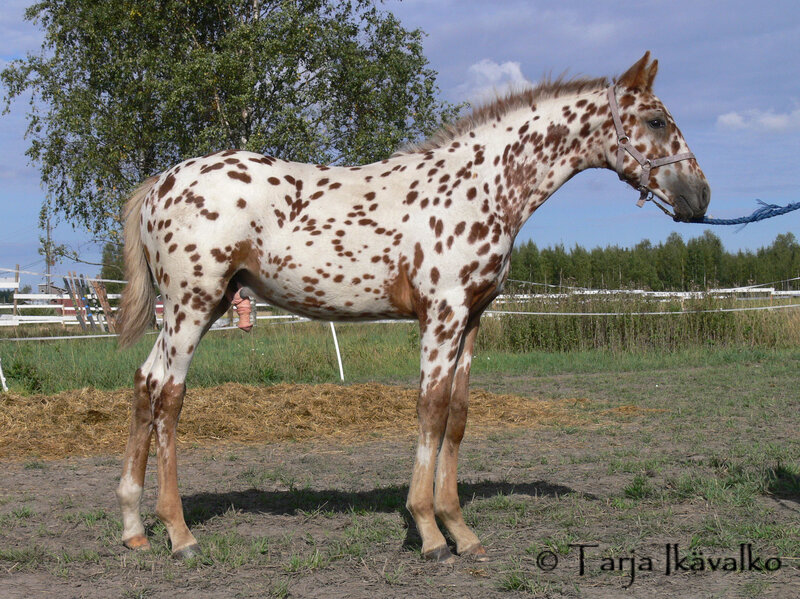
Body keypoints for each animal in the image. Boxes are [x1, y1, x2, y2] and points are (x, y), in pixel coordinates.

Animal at [115, 52, 710, 562]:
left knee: (145, 382)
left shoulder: (472, 318)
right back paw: (179, 534)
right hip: (193, 305)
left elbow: (457, 415)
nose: (700, 196)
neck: (481, 185)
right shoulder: (442, 315)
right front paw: (429, 532)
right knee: (170, 396)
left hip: (199, 308)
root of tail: (161, 184)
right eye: (656, 120)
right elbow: (430, 409)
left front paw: (461, 530)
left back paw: (134, 527)